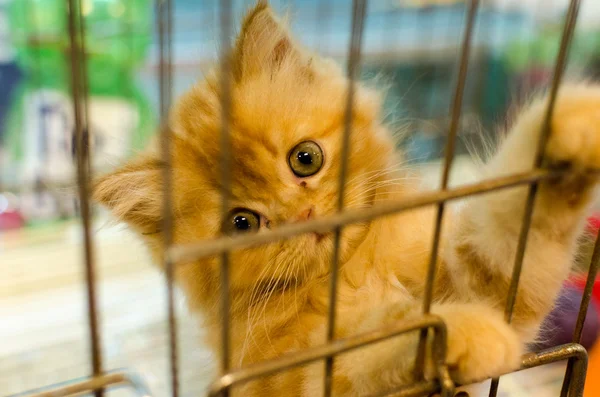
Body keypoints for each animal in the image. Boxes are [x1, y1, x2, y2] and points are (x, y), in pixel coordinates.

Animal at [92, 1, 600, 394]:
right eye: (242, 224)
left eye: (305, 158)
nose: (305, 214)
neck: (353, 270)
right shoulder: (291, 376)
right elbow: (375, 342)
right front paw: (457, 331)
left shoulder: (489, 280)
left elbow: (511, 226)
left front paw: (565, 126)